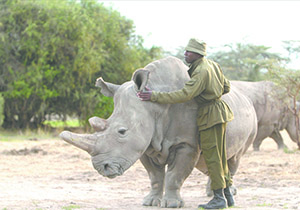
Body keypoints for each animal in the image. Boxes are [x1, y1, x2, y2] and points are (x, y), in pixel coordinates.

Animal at [59, 56, 256, 208]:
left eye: (122, 131)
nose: (102, 168)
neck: (155, 108)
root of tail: (246, 98)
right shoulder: (145, 143)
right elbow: (155, 176)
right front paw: (150, 202)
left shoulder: (186, 143)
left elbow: (175, 175)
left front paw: (172, 204)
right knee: (211, 160)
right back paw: (213, 194)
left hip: (250, 120)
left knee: (232, 158)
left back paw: (228, 195)